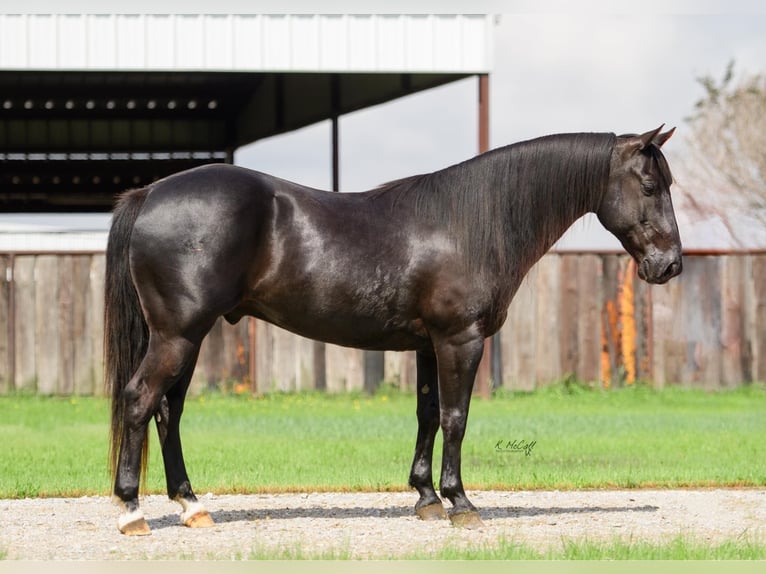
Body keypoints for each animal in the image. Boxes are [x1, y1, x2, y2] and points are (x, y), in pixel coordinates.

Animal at [103, 126, 684, 536]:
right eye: (650, 186)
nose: (671, 265)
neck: (468, 224)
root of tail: (150, 193)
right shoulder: (460, 340)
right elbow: (455, 419)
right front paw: (460, 503)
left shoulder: (428, 345)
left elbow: (427, 415)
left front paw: (425, 498)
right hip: (177, 335)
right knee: (139, 400)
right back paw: (131, 511)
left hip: (188, 337)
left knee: (168, 412)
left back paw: (191, 505)